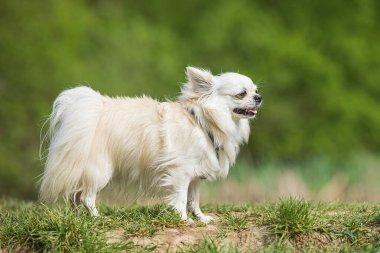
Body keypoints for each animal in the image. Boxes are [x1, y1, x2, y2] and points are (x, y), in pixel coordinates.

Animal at [39, 66, 262, 222]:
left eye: (255, 90)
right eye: (242, 93)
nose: (259, 97)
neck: (203, 123)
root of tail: (95, 110)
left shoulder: (195, 177)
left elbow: (194, 200)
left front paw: (201, 218)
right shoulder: (180, 173)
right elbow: (181, 199)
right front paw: (185, 220)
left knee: (75, 196)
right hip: (100, 170)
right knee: (86, 196)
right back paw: (96, 217)